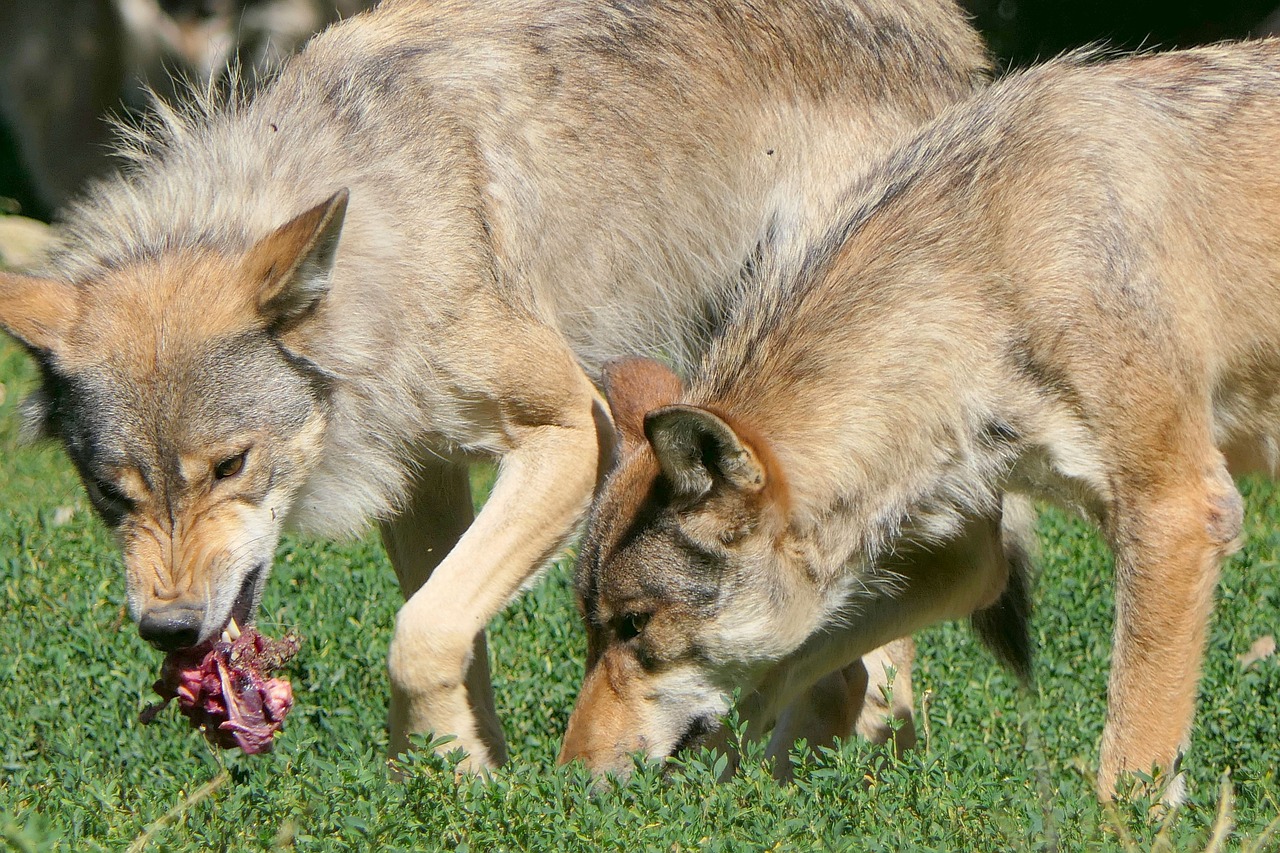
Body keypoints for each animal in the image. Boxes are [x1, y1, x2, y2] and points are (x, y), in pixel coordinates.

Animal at [0, 0, 988, 768]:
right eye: (110, 495)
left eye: (229, 466)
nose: (168, 630)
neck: (382, 242)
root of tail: (951, 38)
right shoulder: (419, 475)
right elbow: (447, 633)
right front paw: (453, 782)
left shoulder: (574, 431)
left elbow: (420, 632)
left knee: (863, 665)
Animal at [563, 39, 1280, 799]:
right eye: (591, 628)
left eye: (634, 626)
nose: (568, 778)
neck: (983, 284)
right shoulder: (968, 557)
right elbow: (792, 668)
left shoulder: (1176, 511)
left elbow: (1132, 754)